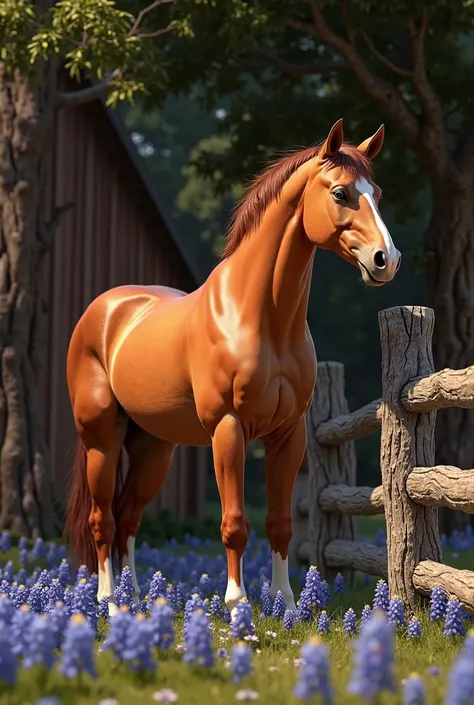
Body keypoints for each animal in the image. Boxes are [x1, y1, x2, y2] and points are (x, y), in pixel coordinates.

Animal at [64, 119, 400, 616]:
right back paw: (108, 600)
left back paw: (136, 598)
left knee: (127, 517)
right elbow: (235, 522)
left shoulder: (288, 435)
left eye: (375, 192)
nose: (386, 260)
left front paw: (286, 603)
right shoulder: (228, 428)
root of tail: (103, 311)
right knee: (102, 518)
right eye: (340, 192)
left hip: (153, 448)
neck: (259, 318)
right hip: (101, 441)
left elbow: (280, 523)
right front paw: (237, 600)